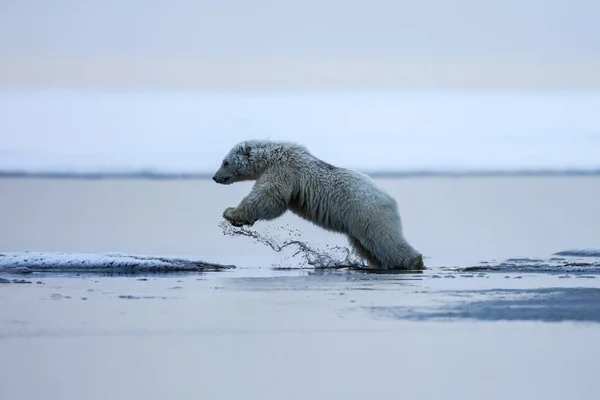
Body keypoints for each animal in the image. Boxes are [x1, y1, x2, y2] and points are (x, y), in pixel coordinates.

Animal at [213, 139, 424, 270]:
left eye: (225, 162)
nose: (215, 177)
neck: (271, 155)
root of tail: (390, 200)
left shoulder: (284, 169)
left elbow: (270, 196)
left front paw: (231, 213)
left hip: (367, 213)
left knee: (385, 240)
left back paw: (415, 262)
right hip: (359, 224)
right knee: (369, 248)